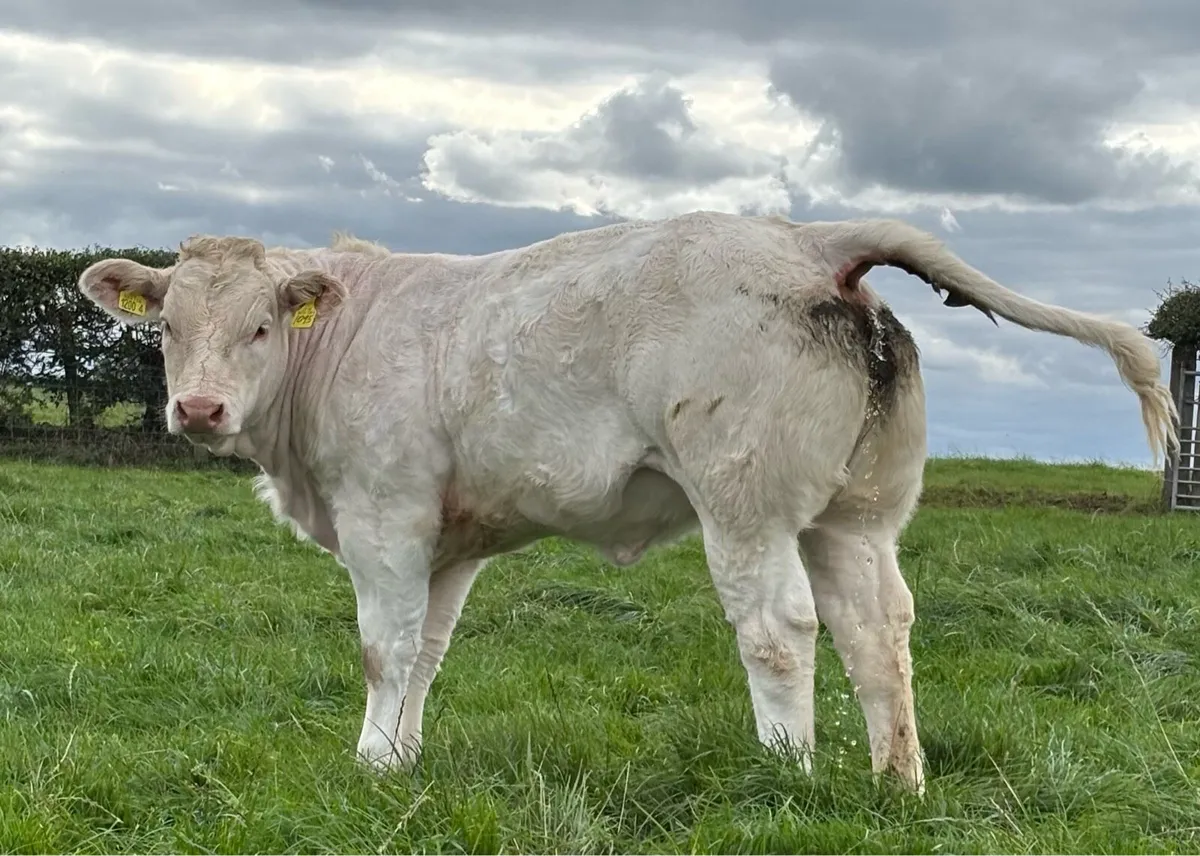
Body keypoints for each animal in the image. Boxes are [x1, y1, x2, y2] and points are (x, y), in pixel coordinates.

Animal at [78, 211, 1177, 793]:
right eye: (167, 326)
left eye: (263, 326)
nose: (198, 408)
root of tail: (805, 238)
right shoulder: (450, 538)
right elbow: (427, 652)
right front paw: (405, 759)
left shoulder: (385, 514)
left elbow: (383, 648)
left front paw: (369, 764)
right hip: (856, 513)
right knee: (879, 630)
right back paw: (894, 780)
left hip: (744, 498)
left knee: (780, 628)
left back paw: (788, 773)